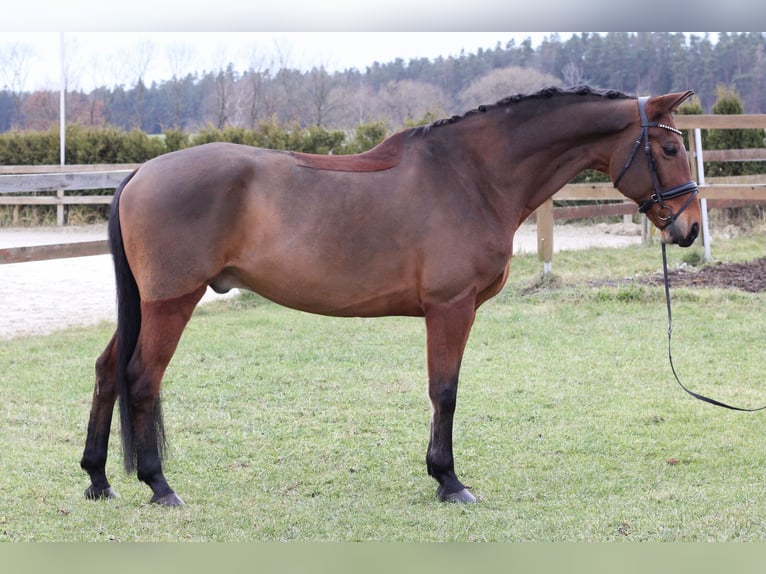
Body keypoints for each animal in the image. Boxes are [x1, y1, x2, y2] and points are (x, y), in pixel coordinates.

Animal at [82, 84, 704, 504]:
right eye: (671, 150)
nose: (691, 228)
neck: (471, 175)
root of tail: (141, 173)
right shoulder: (450, 308)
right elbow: (445, 391)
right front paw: (449, 480)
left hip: (144, 306)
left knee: (108, 370)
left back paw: (98, 478)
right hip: (171, 303)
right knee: (141, 377)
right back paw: (159, 485)